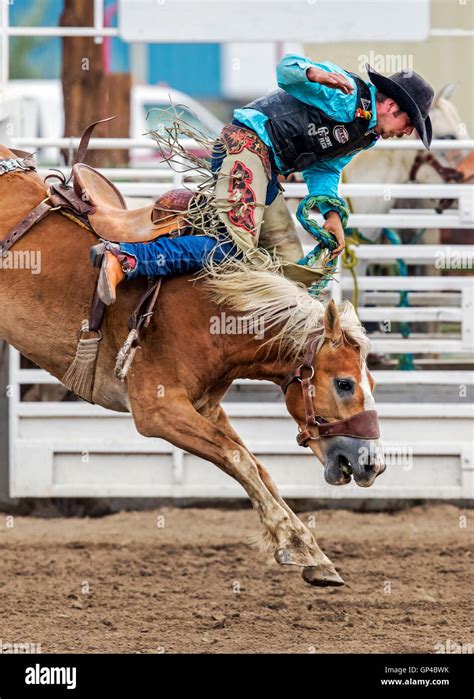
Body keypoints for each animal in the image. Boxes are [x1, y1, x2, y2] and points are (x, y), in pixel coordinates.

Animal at [0, 145, 386, 588]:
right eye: (344, 384)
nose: (373, 464)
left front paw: (312, 553)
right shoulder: (159, 410)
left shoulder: (206, 407)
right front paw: (296, 544)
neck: (210, 312)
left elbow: (257, 466)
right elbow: (238, 460)